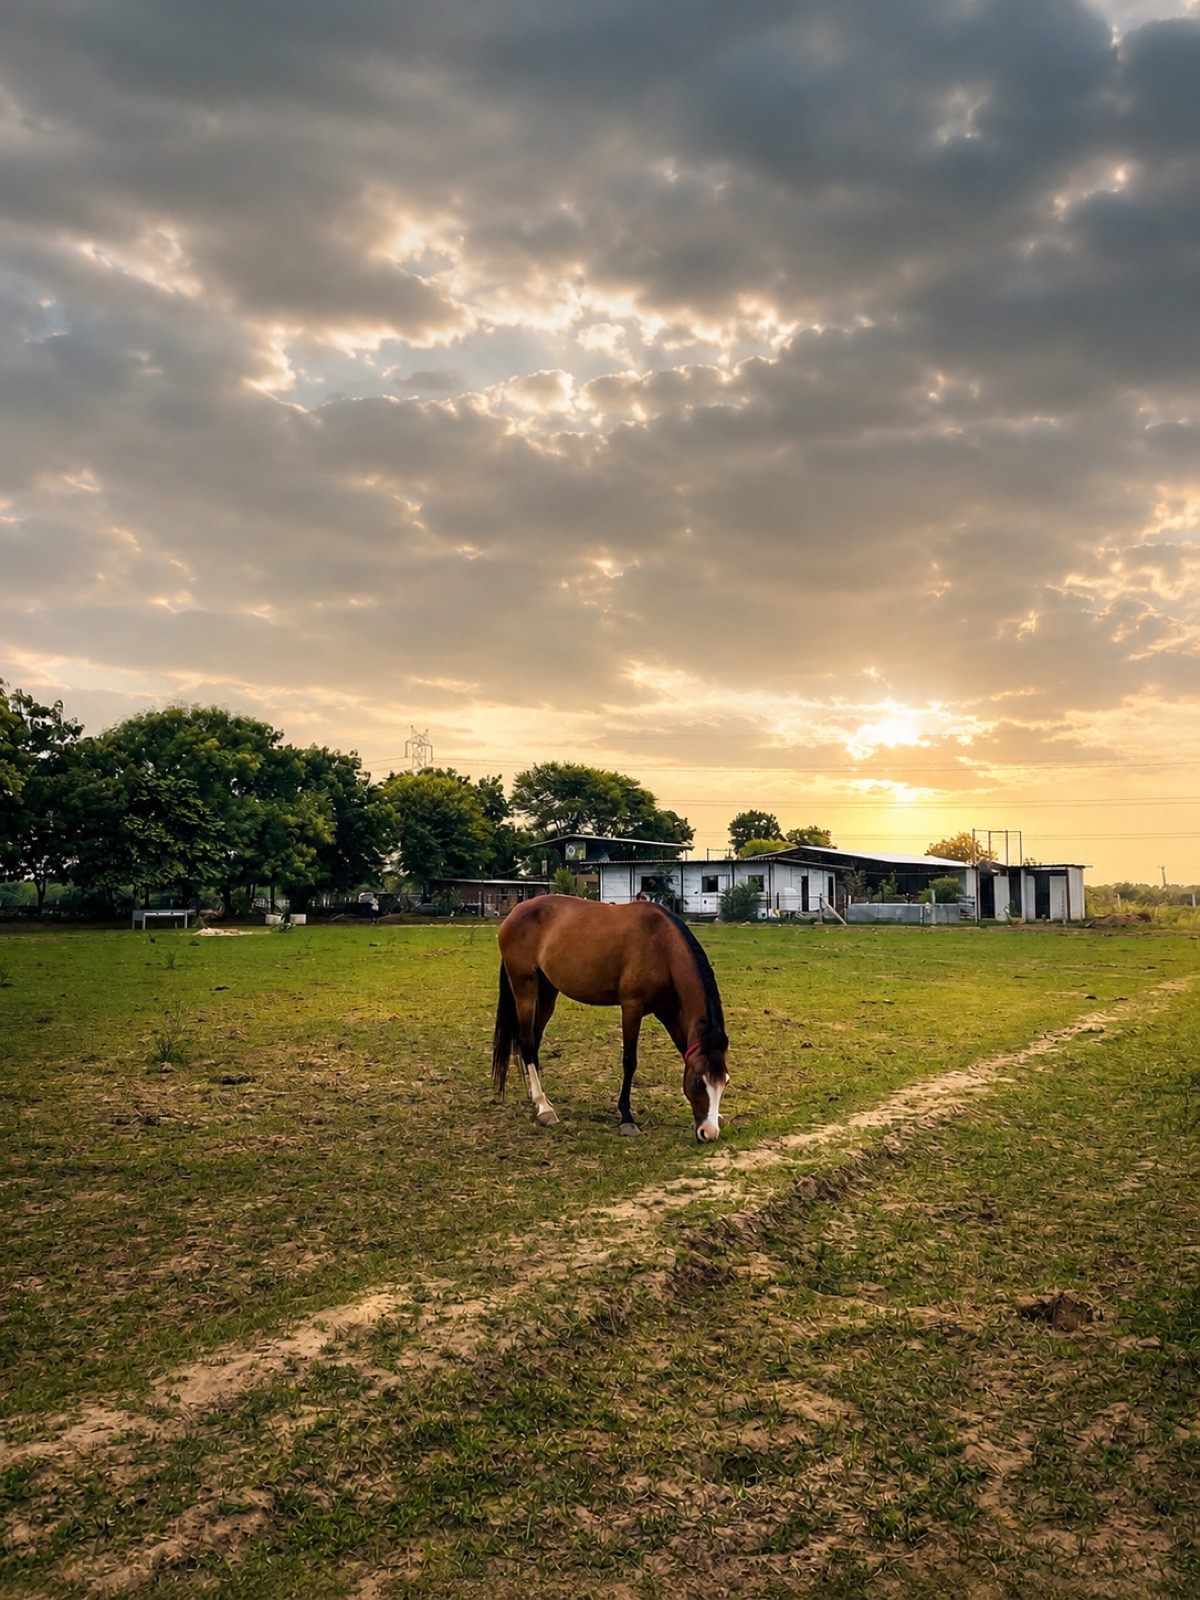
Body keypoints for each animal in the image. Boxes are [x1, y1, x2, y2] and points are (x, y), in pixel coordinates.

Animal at [491, 895, 730, 1141]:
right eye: (698, 1082)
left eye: (725, 1082)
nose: (708, 1132)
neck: (660, 944)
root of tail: (515, 911)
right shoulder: (632, 1007)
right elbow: (629, 1061)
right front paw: (626, 1117)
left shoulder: (668, 1012)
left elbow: (685, 1051)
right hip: (525, 988)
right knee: (526, 1041)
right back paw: (543, 1107)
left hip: (547, 991)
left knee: (535, 1040)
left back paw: (537, 1098)